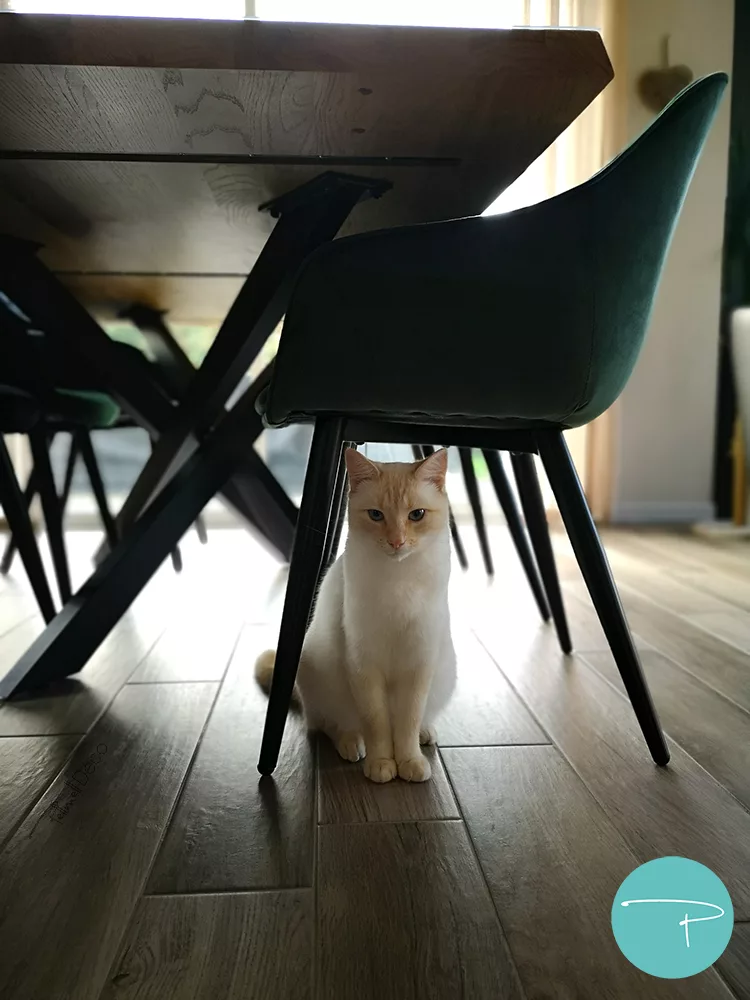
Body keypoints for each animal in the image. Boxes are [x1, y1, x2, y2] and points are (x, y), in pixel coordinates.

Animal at [258, 450, 458, 784]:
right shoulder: (364, 664)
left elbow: (408, 721)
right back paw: (352, 744)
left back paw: (425, 734)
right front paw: (382, 763)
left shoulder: (418, 663)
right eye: (376, 516)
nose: (396, 542)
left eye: (416, 515)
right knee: (328, 724)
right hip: (317, 672)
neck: (398, 578)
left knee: (418, 721)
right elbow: (376, 723)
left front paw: (410, 761)